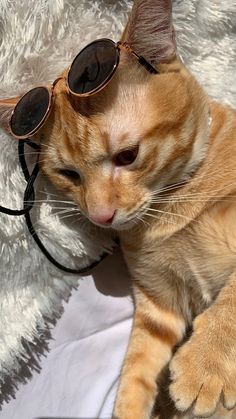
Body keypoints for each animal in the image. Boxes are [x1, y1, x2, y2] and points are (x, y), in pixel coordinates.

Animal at [0, 1, 236, 418]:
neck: (172, 205)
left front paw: (205, 363)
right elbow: (134, 373)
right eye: (69, 174)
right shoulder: (158, 307)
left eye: (127, 156)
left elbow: (233, 300)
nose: (99, 216)